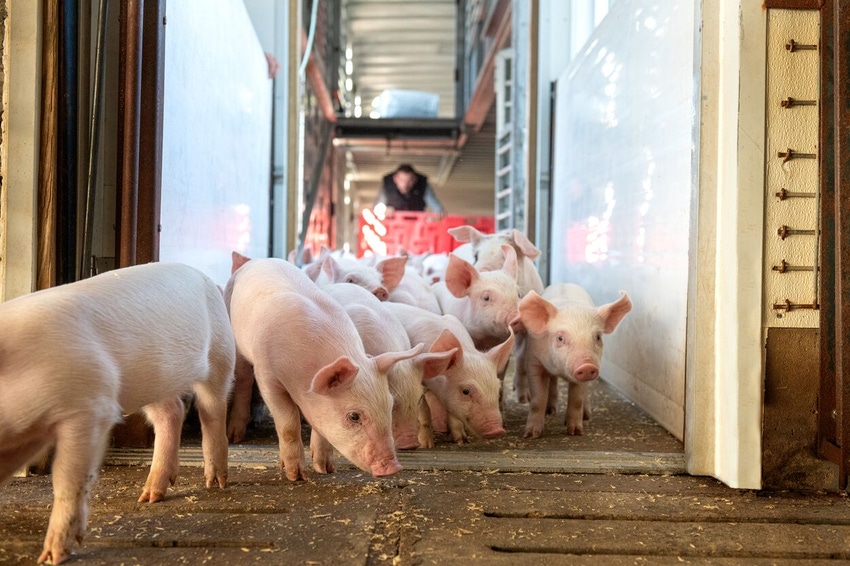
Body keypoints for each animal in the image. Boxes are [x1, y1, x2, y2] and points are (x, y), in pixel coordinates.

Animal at [0, 264, 234, 564]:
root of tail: (201, 275)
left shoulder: (90, 407)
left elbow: (68, 479)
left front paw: (52, 556)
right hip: (150, 382)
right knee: (172, 412)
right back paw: (150, 496)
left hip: (221, 352)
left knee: (213, 408)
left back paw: (215, 482)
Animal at [220, 260, 416, 482]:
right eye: (354, 416)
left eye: (390, 405)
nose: (394, 467)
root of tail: (260, 261)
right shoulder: (267, 376)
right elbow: (288, 424)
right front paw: (297, 476)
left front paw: (326, 469)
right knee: (243, 378)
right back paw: (235, 436)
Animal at [382, 304, 510, 446]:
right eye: (466, 391)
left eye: (497, 389)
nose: (497, 430)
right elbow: (424, 408)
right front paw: (427, 445)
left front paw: (461, 441)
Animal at [512, 286, 628, 442]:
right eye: (560, 338)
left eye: (598, 337)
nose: (587, 365)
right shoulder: (534, 361)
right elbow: (538, 398)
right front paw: (531, 435)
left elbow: (577, 399)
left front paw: (575, 432)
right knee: (553, 381)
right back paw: (550, 411)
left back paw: (586, 416)